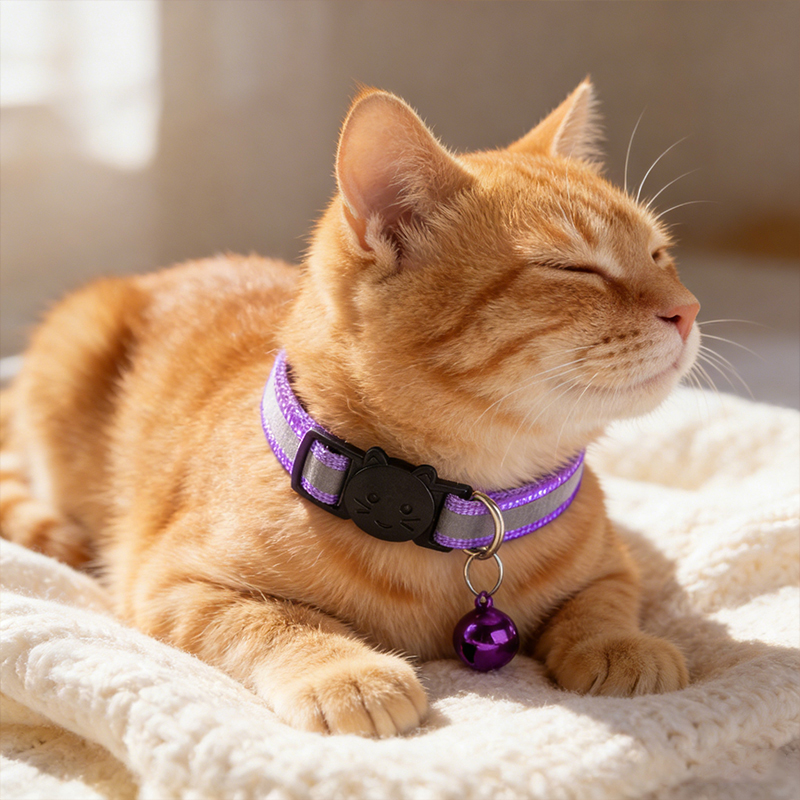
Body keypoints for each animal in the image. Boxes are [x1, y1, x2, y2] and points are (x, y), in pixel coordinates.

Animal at [1, 80, 697, 736]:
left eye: (660, 254)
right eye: (573, 268)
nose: (687, 309)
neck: (461, 515)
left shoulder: (614, 564)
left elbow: (600, 602)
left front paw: (621, 644)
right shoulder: (171, 584)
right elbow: (274, 620)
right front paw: (346, 672)